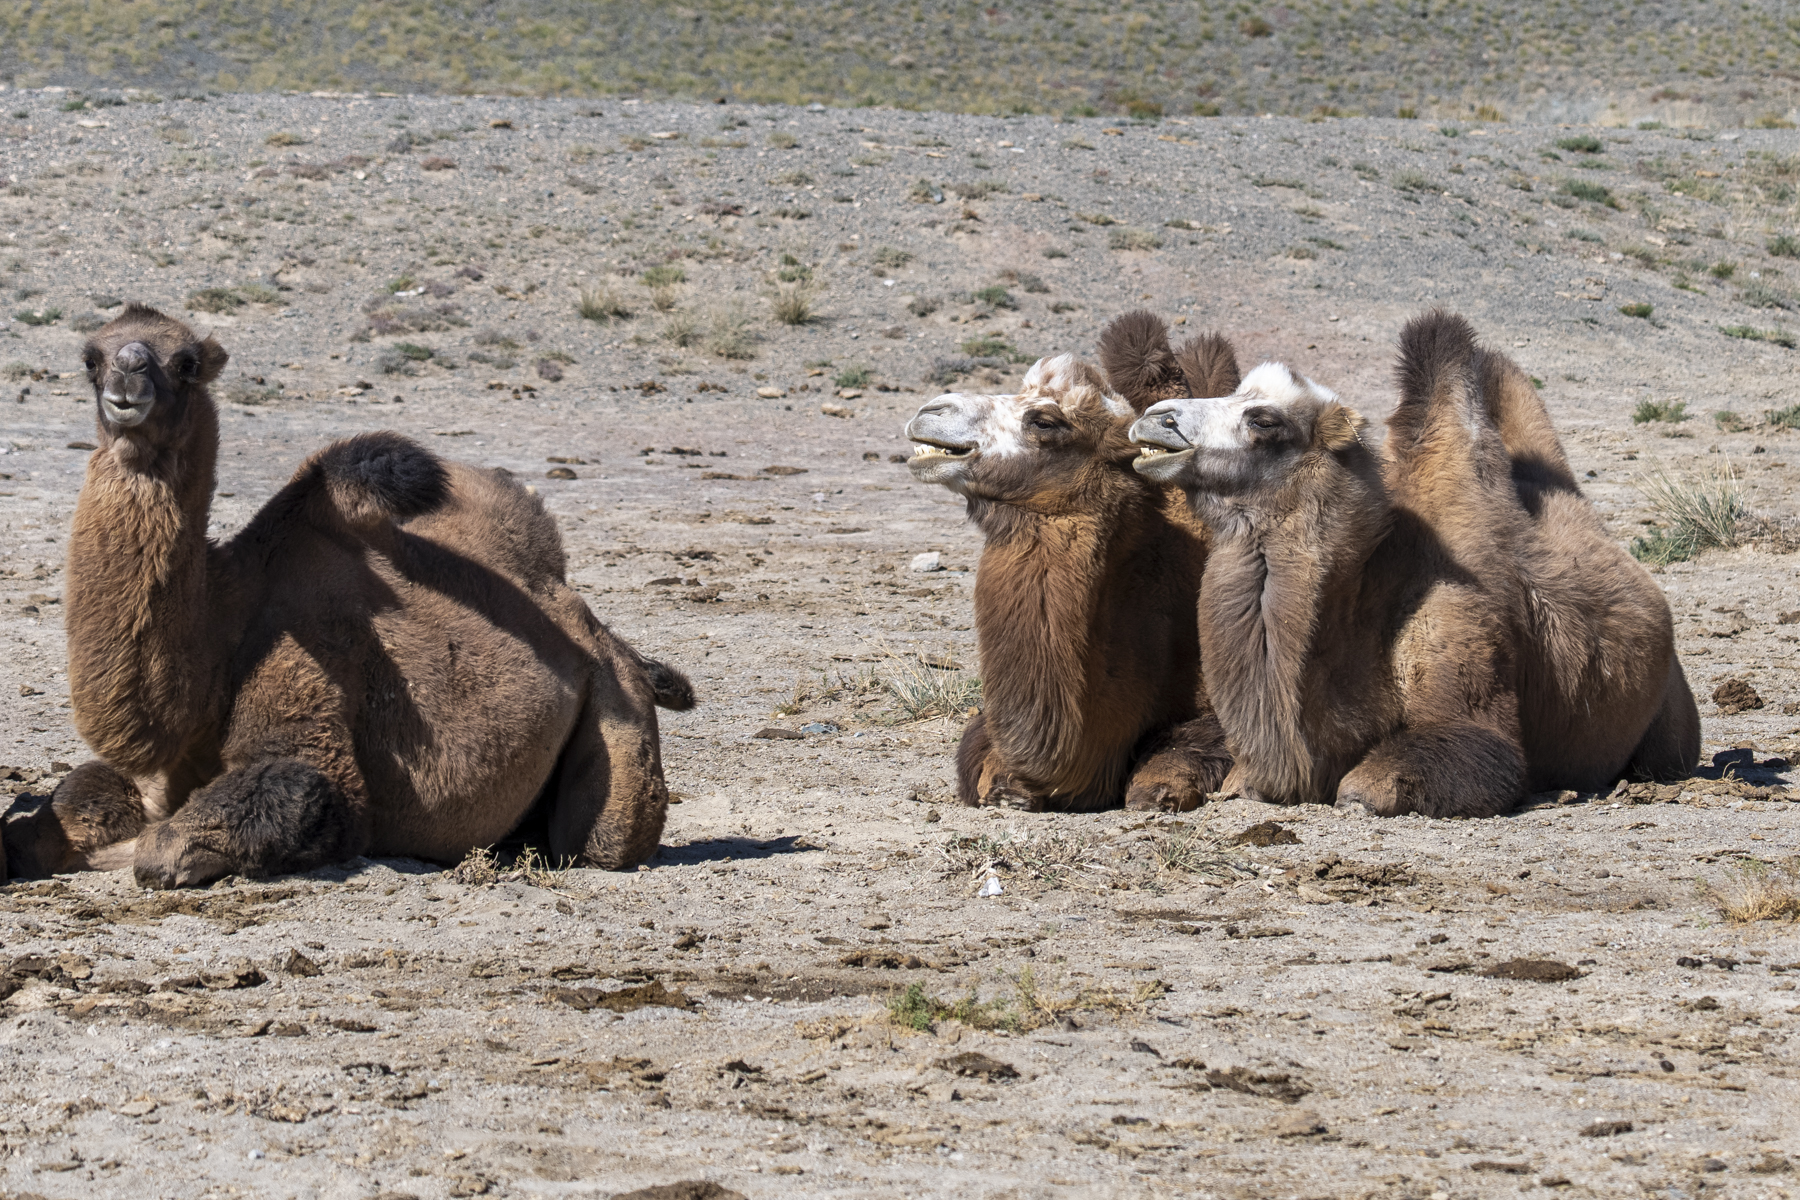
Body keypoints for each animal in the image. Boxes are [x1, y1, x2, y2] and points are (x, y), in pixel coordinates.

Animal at [3, 304, 694, 888]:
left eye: (186, 363)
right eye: (91, 357)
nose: (127, 377)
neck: (224, 628)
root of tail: (602, 637)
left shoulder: (313, 701)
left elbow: (212, 830)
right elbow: (72, 798)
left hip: (618, 722)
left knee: (601, 839)